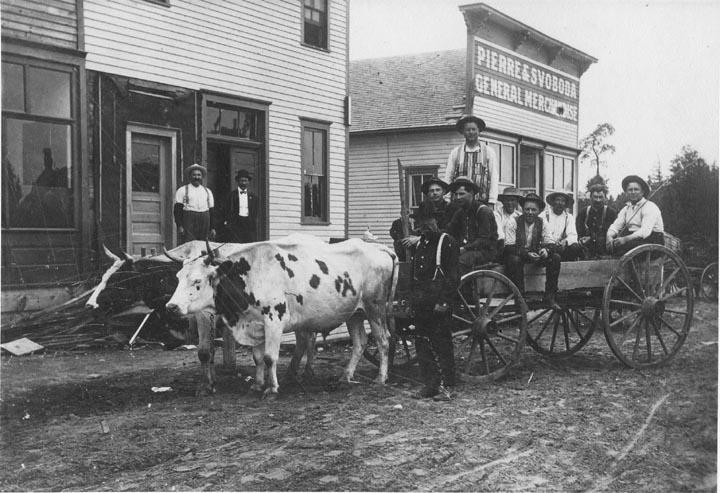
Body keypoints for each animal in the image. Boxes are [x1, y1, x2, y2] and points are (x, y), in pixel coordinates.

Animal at [165, 235, 398, 398]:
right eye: (177, 277)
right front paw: (257, 384)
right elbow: (258, 358)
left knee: (383, 340)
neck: (250, 275)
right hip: (355, 313)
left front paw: (272, 388)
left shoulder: (274, 321)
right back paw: (345, 376)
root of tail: (380, 247)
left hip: (375, 308)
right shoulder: (255, 324)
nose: (171, 306)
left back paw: (380, 378)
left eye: (197, 281)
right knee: (360, 342)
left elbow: (270, 357)